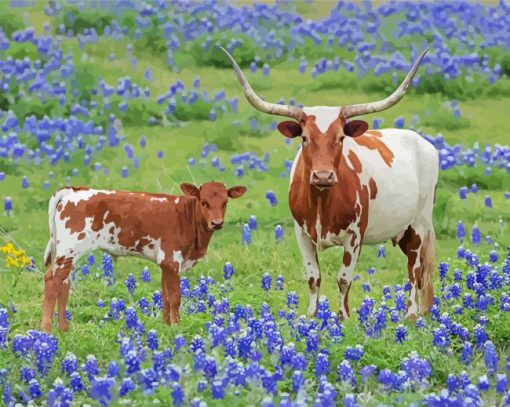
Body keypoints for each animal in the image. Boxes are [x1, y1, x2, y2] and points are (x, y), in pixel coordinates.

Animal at [41, 182, 245, 332]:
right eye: (204, 202)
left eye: (225, 202)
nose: (217, 223)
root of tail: (74, 190)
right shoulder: (171, 260)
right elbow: (175, 298)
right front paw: (177, 328)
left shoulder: (165, 264)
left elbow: (165, 296)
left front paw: (165, 326)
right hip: (70, 250)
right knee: (52, 279)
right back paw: (47, 330)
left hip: (69, 253)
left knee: (64, 284)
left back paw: (64, 328)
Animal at [223, 47, 438, 322]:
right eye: (304, 137)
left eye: (341, 137)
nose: (323, 176)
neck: (321, 202)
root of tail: (422, 141)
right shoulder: (301, 233)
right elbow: (313, 277)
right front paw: (313, 316)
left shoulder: (355, 236)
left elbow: (344, 279)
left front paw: (342, 318)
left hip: (419, 224)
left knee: (415, 269)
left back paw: (410, 315)